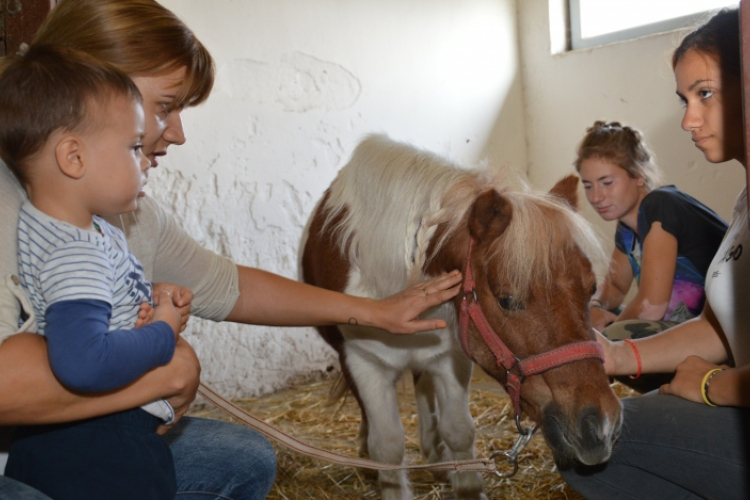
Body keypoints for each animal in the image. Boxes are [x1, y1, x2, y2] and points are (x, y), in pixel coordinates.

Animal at [302, 136, 624, 500]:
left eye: (592, 287)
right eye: (507, 299)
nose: (600, 426)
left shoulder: (452, 356)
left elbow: (458, 431)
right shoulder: (364, 364)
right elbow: (387, 447)